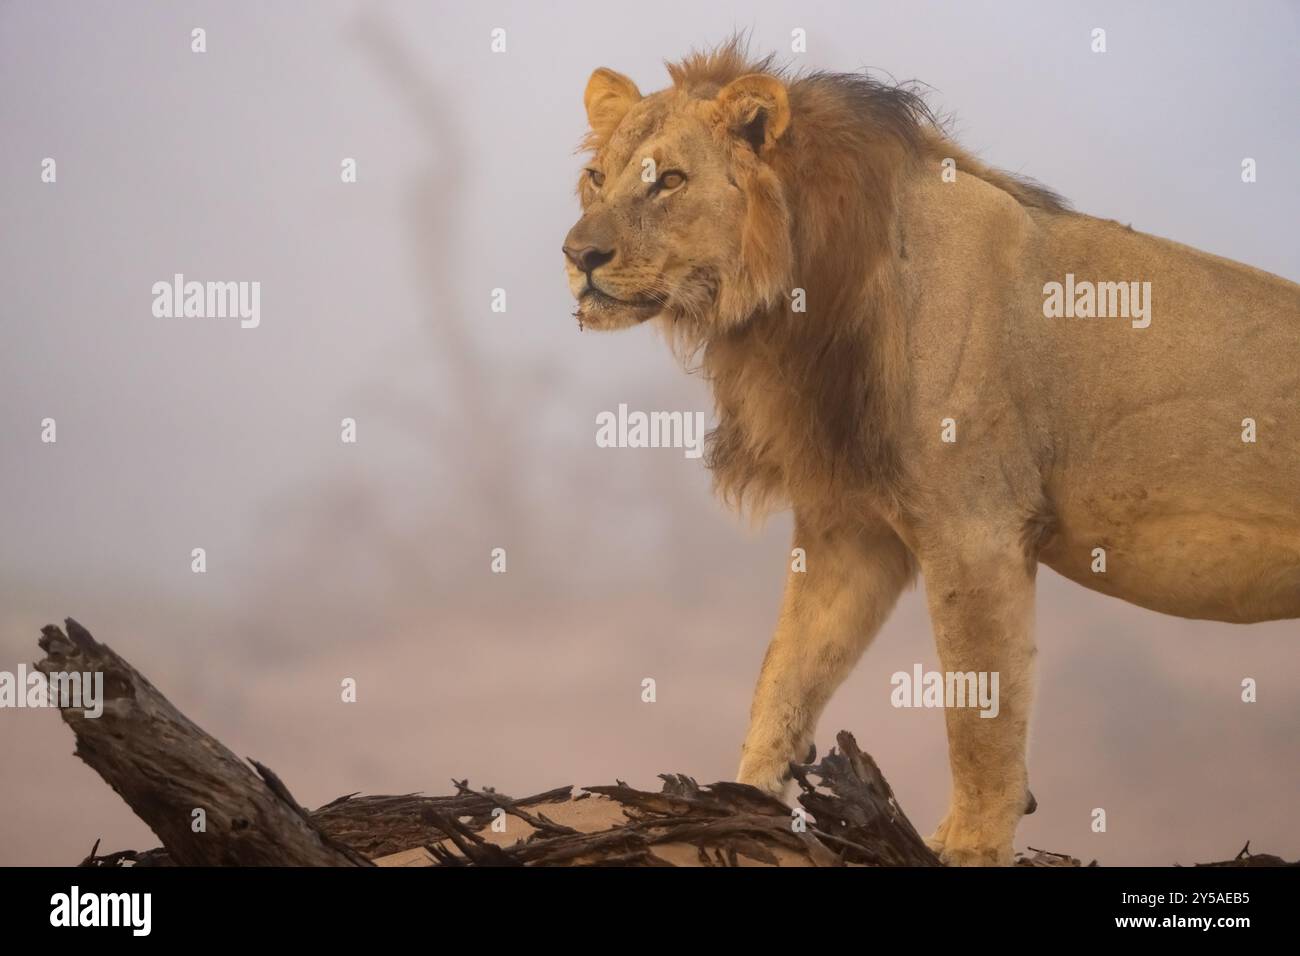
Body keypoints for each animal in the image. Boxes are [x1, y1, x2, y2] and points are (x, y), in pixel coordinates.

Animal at [561, 41, 1300, 868]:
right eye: (597, 178)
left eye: (670, 180)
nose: (578, 254)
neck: (803, 298)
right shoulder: (850, 529)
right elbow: (785, 675)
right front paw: (743, 806)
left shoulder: (977, 530)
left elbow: (980, 715)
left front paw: (970, 845)